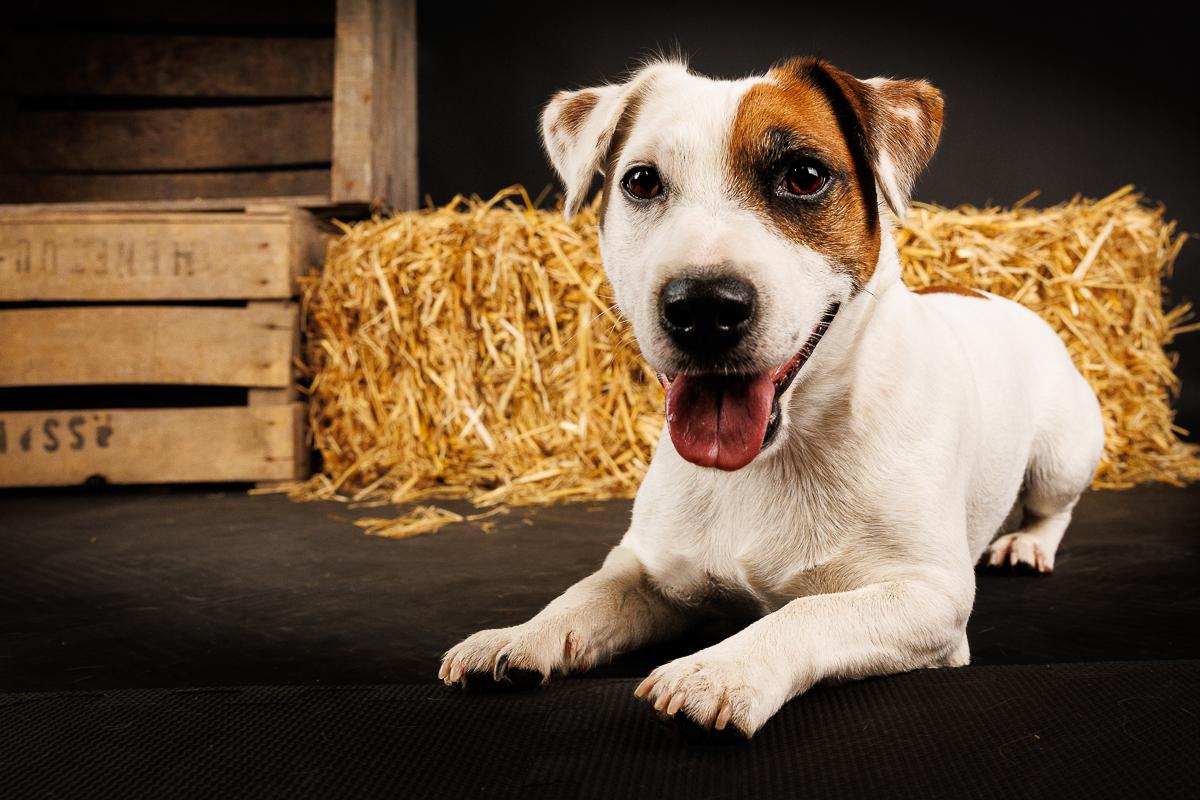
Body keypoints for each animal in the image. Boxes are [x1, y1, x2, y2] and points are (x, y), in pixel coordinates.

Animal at [436, 57, 1099, 743]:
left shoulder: (928, 597)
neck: (774, 456)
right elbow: (583, 596)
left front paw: (720, 670)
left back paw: (1027, 544)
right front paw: (519, 636)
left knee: (1053, 506)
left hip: (1062, 456)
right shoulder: (646, 571)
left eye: (804, 176)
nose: (702, 307)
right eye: (641, 182)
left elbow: (805, 614)